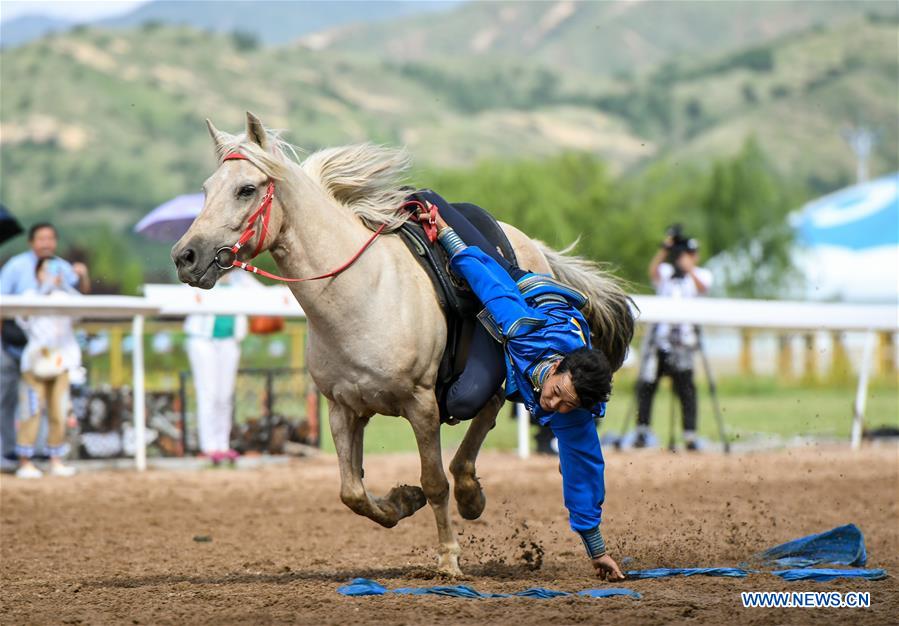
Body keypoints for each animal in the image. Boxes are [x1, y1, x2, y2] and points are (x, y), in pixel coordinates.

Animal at [174, 113, 632, 576]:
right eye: (207, 189)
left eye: (246, 189)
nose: (185, 256)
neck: (362, 293)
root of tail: (527, 244)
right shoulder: (342, 408)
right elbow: (352, 491)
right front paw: (401, 501)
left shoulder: (421, 403)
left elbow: (434, 482)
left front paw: (448, 559)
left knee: (484, 410)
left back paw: (470, 494)